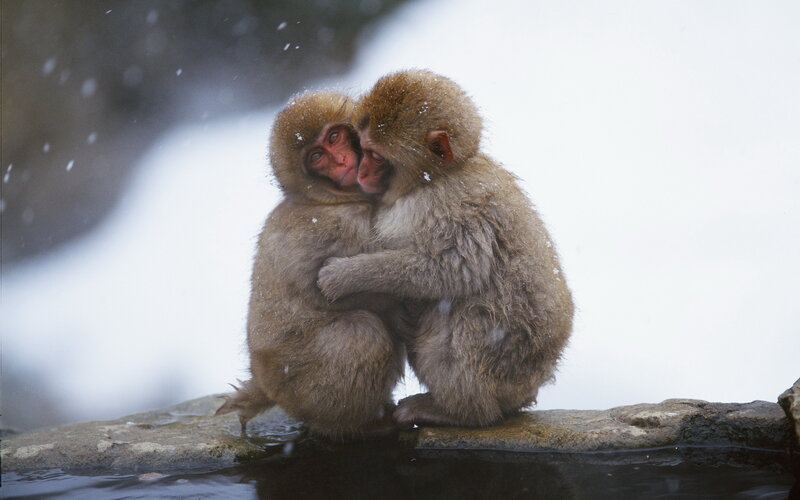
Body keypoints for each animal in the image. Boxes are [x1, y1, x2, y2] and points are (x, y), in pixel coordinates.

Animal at [216, 91, 404, 439]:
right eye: (317, 156)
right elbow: (339, 290)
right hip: (302, 384)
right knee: (362, 333)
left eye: (334, 137)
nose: (341, 161)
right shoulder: (340, 226)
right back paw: (360, 425)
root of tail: (265, 383)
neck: (326, 199)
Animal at [317, 70, 574, 428]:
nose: (361, 172)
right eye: (361, 148)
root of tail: (530, 385)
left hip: (498, 364)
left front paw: (346, 275)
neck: (434, 179)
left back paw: (459, 411)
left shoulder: (452, 207)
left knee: (460, 316)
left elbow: (454, 270)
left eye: (376, 156)